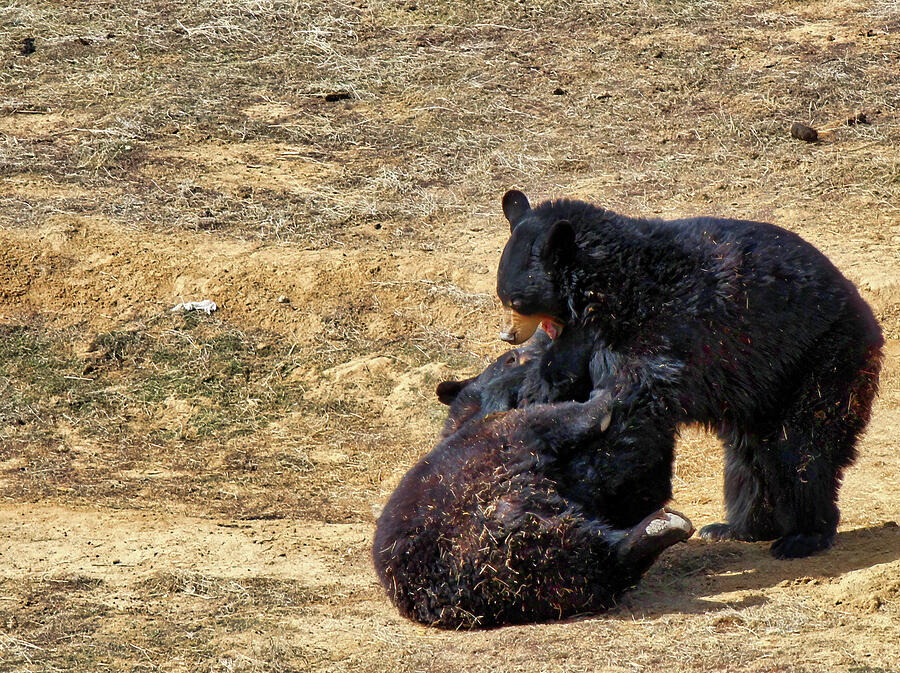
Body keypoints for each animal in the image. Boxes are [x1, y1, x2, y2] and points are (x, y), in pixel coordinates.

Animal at [372, 336, 688, 632]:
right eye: (512, 357)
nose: (540, 336)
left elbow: (629, 482)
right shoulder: (496, 433)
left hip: (538, 571)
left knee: (588, 562)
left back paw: (657, 528)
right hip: (492, 460)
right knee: (552, 420)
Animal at [496, 188, 884, 556]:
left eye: (516, 301)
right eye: (502, 297)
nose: (507, 335)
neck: (608, 288)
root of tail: (866, 314)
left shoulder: (660, 331)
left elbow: (632, 406)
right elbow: (561, 376)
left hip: (819, 359)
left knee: (803, 446)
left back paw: (802, 536)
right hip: (762, 389)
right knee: (749, 456)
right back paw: (737, 528)